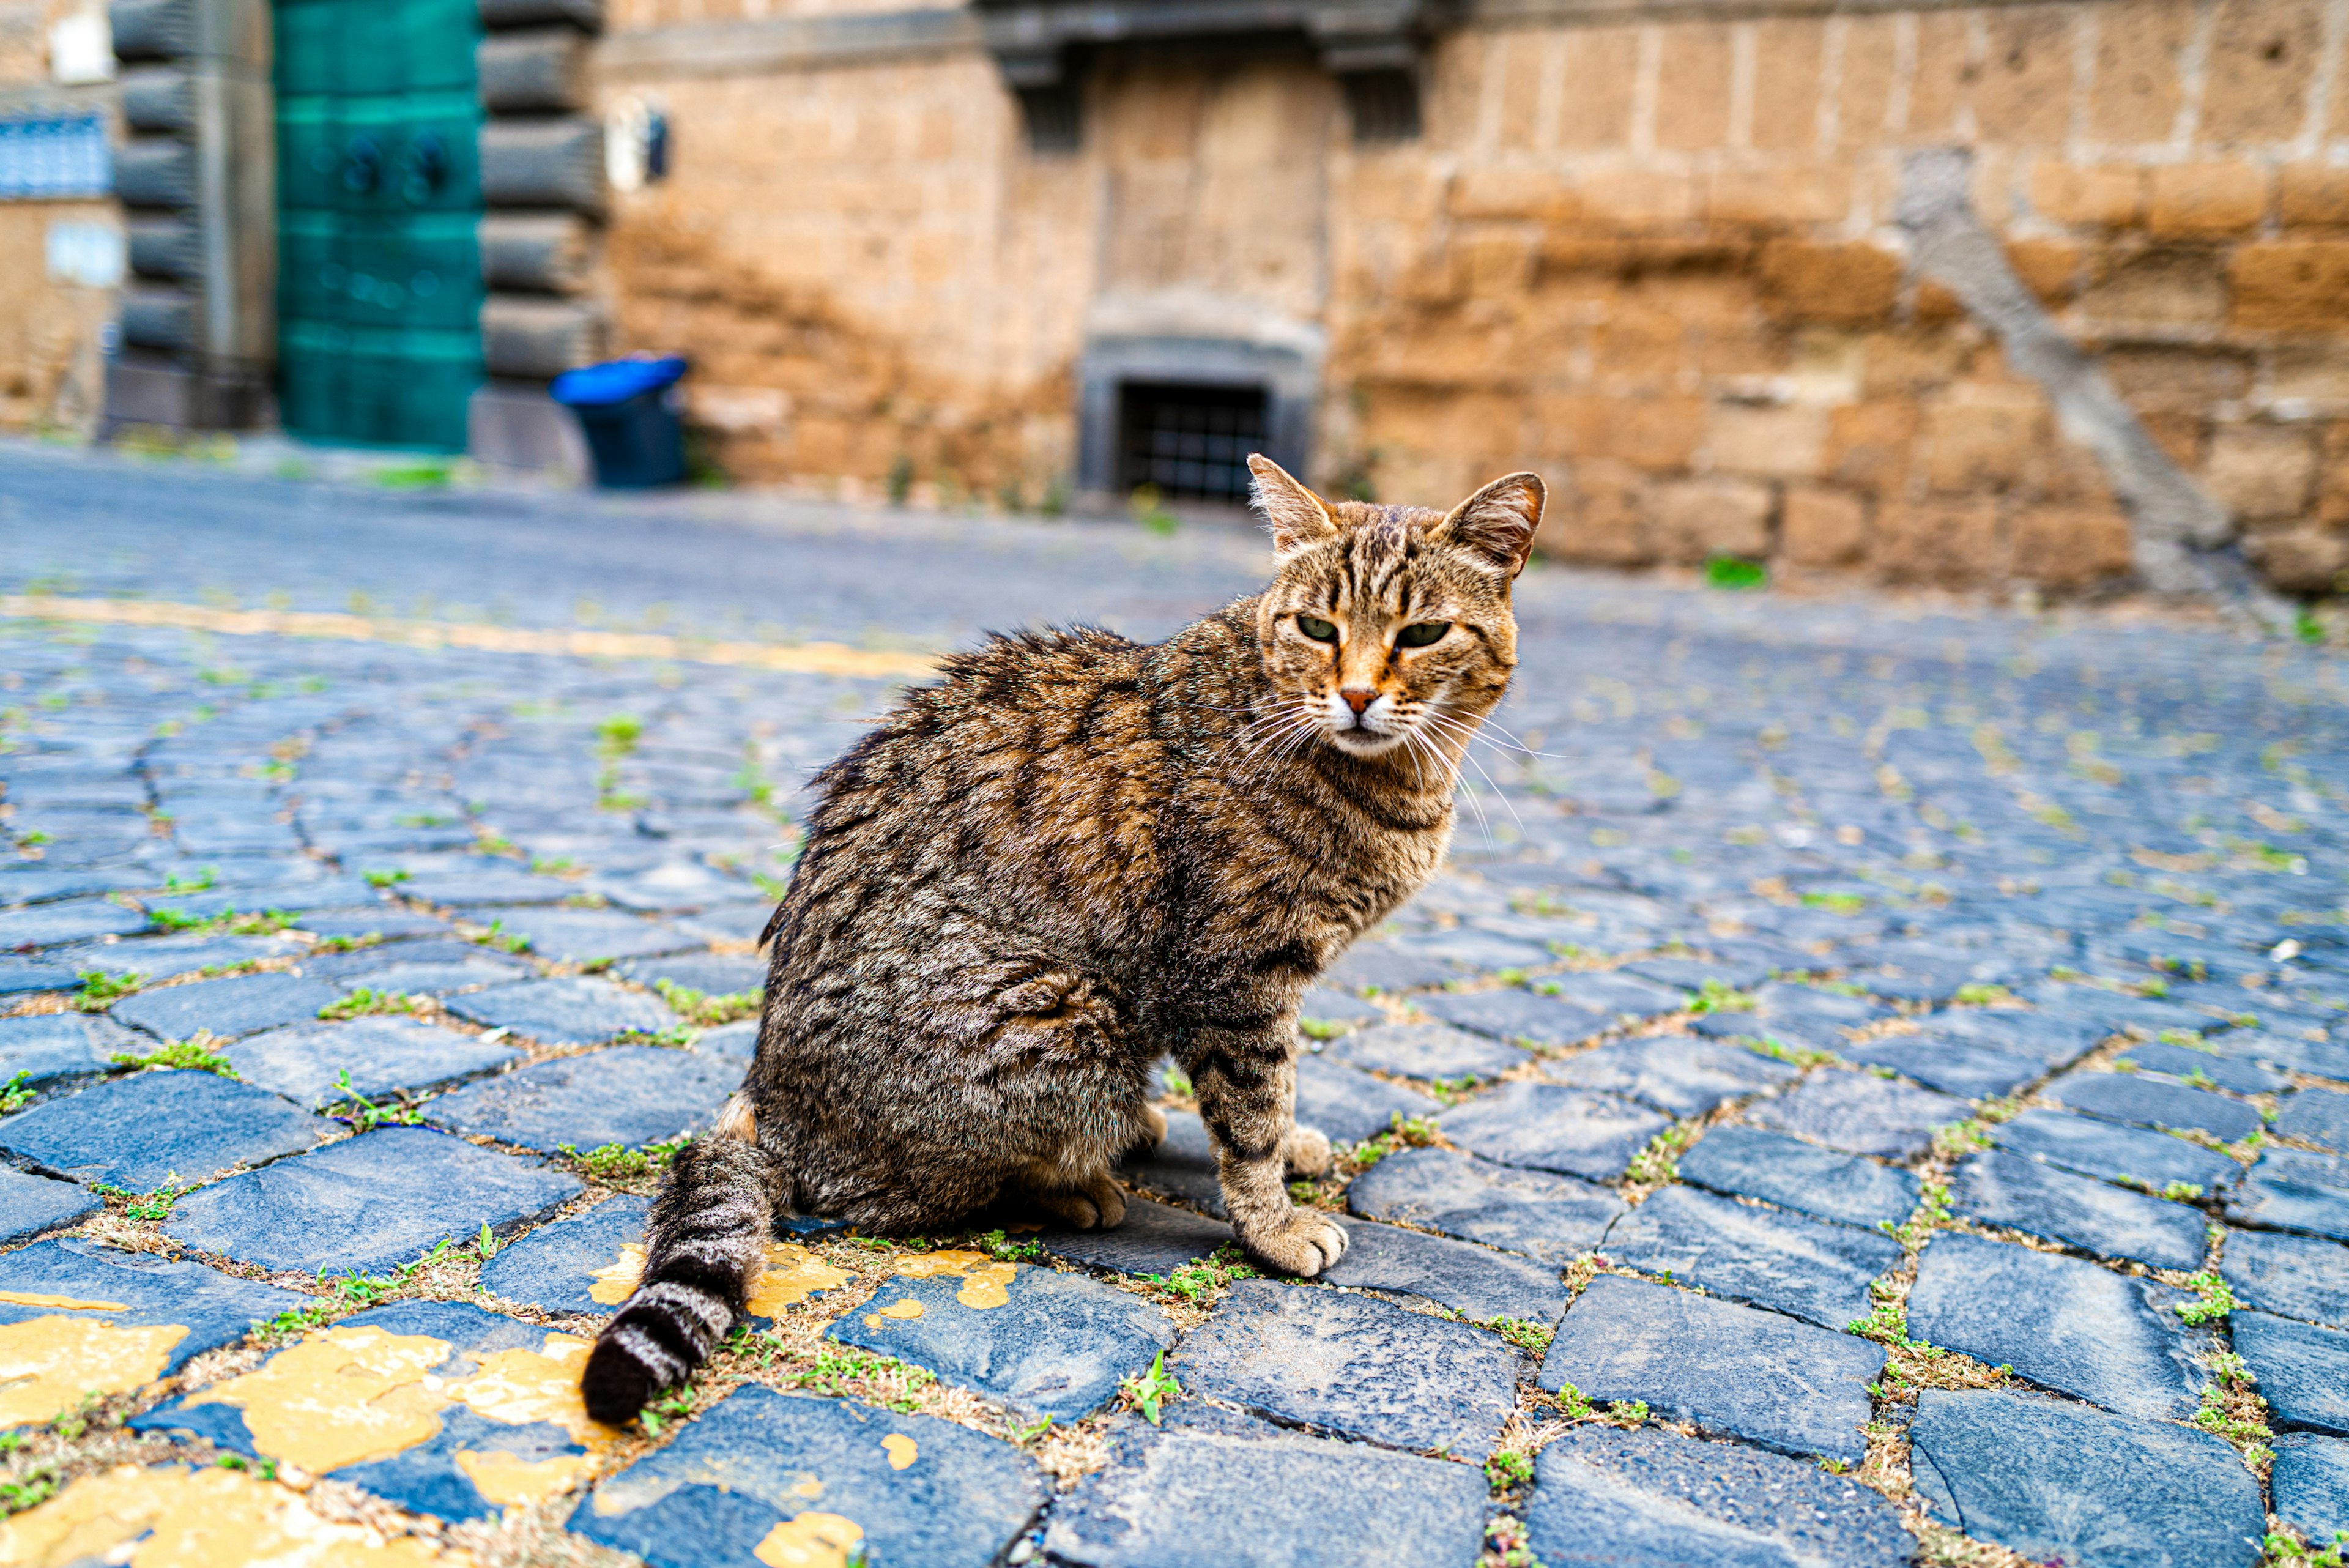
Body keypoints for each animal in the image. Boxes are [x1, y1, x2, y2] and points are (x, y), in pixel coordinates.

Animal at [582, 456, 1541, 1419]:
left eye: (1422, 633)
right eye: (1317, 627)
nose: (1357, 694)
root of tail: (769, 1096)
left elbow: (1280, 1089)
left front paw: (1295, 1148)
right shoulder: (1232, 976)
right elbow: (1252, 1111)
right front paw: (1272, 1223)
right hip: (1066, 1017)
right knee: (902, 1193)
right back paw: (1075, 1186)